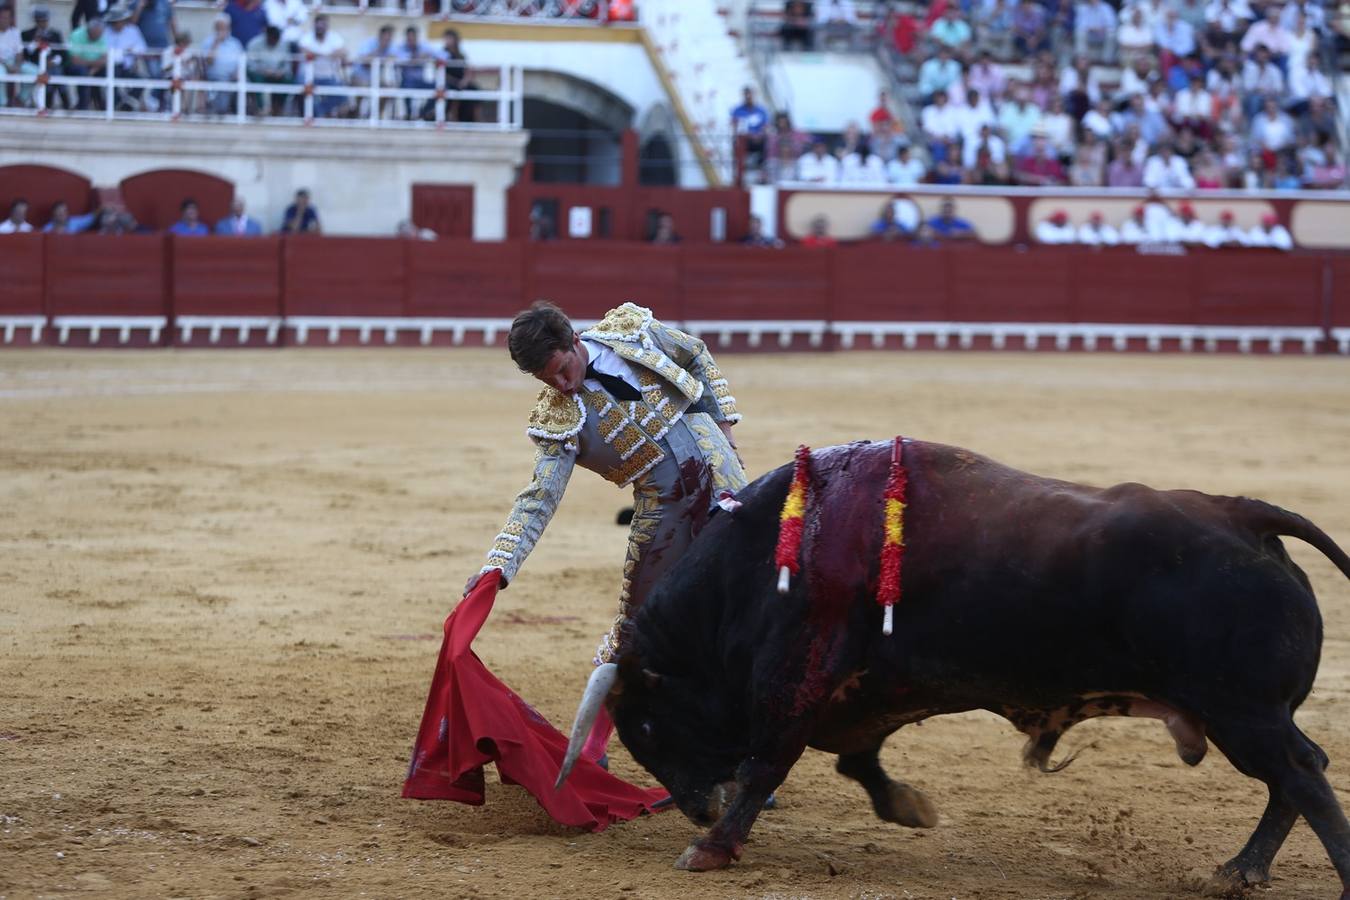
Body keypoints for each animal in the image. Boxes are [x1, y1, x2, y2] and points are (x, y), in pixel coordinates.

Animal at [558, 437, 1350, 895]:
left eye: (646, 727)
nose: (697, 806)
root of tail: (1242, 515)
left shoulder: (795, 679)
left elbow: (767, 763)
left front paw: (711, 848)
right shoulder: (864, 693)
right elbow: (856, 761)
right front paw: (908, 807)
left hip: (1242, 712)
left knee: (1301, 774)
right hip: (1243, 717)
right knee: (1294, 776)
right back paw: (1240, 871)